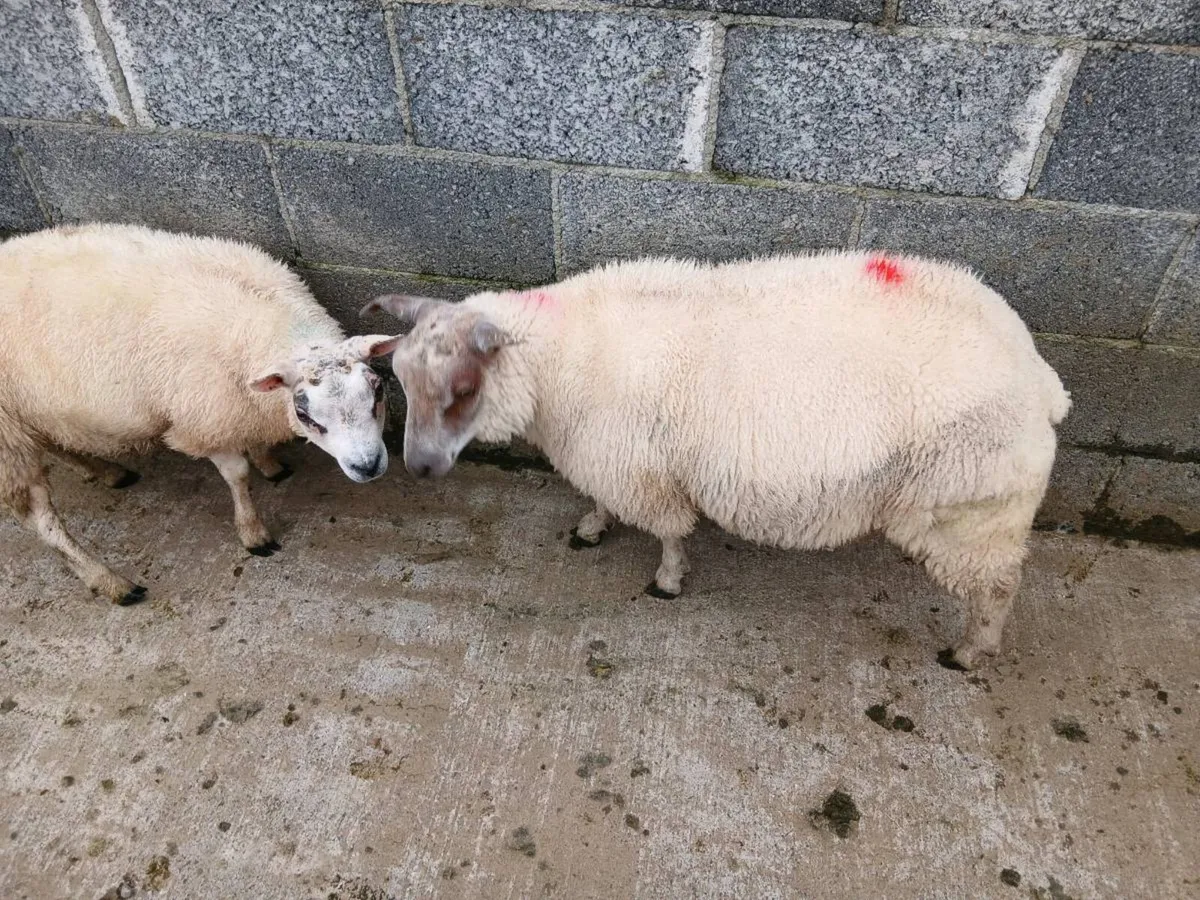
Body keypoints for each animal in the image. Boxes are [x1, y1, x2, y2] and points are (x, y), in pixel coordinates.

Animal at [0, 223, 400, 605]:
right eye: (306, 416)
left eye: (377, 391)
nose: (367, 466)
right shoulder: (203, 420)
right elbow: (237, 475)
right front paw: (253, 533)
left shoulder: (238, 404)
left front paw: (269, 463)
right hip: (8, 438)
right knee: (42, 521)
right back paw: (112, 583)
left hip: (33, 413)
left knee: (57, 445)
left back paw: (106, 471)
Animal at [364, 252, 1070, 671]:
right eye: (398, 379)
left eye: (462, 389)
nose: (418, 468)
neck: (562, 356)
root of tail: (1039, 378)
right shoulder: (610, 459)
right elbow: (602, 502)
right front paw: (592, 526)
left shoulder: (642, 472)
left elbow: (672, 532)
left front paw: (667, 580)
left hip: (972, 513)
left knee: (999, 587)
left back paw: (971, 650)